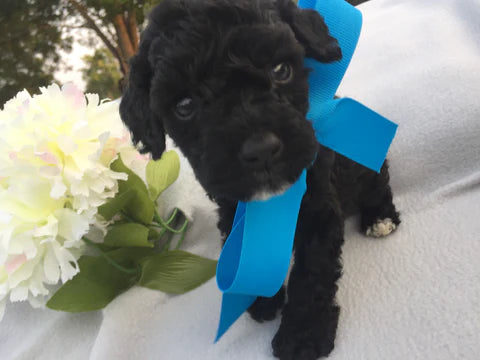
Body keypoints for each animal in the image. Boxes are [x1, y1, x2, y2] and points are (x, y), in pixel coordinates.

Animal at [121, 1, 402, 358]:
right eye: (184, 105)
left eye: (280, 70)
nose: (261, 149)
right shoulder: (232, 206)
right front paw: (260, 298)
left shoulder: (319, 209)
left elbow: (312, 273)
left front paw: (303, 335)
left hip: (365, 163)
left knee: (379, 183)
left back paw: (380, 218)